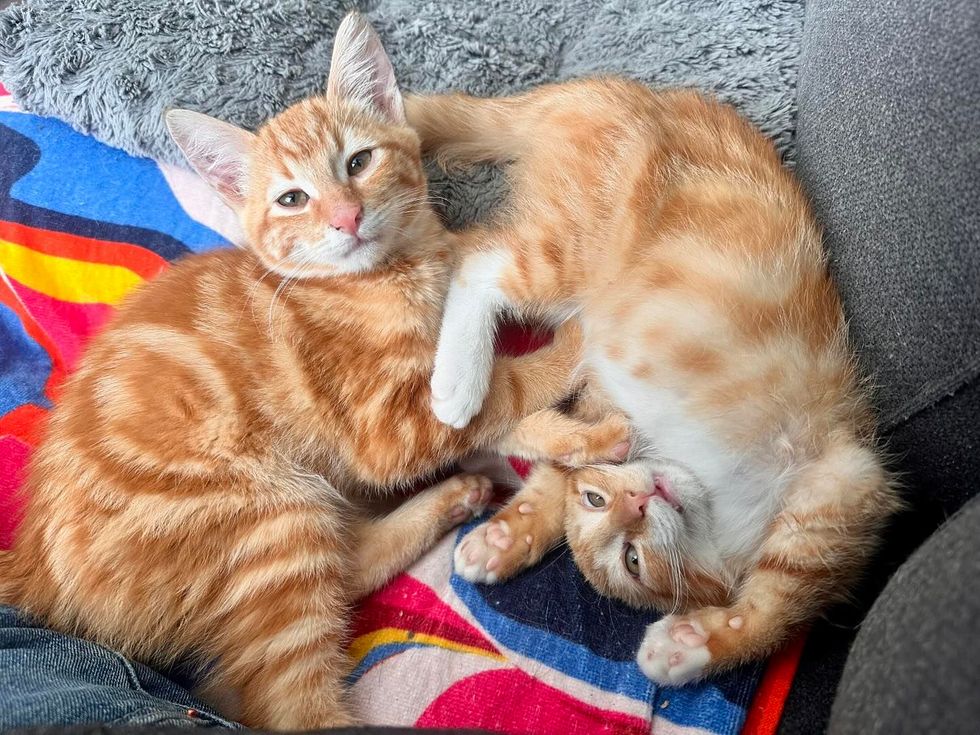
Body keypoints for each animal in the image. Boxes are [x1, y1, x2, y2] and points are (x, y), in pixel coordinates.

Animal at [0, 15, 628, 732]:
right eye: (293, 199)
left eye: (359, 161)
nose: (346, 218)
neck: (392, 272)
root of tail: (34, 575)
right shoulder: (384, 427)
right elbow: (502, 389)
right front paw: (579, 366)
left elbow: (489, 410)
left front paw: (565, 436)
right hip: (273, 513)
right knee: (290, 695)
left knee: (343, 571)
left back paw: (458, 494)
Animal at [408, 83, 904, 688]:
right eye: (599, 503)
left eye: (632, 559)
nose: (641, 500)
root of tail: (611, 86)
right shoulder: (608, 408)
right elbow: (561, 466)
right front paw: (514, 532)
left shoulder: (845, 485)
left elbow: (774, 609)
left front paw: (694, 644)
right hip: (569, 250)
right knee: (475, 262)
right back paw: (460, 380)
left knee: (470, 258)